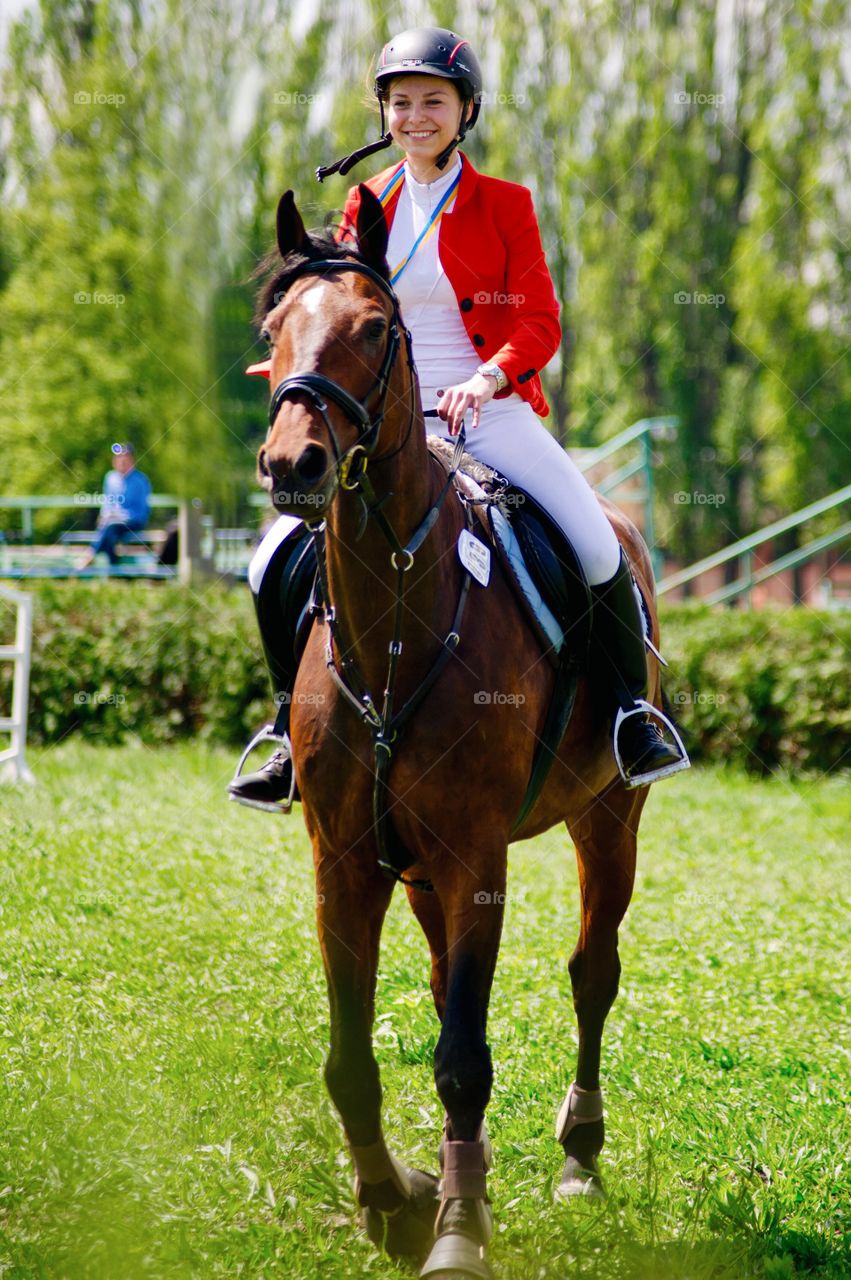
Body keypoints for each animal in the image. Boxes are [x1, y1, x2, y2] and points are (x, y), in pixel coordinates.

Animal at [255, 183, 660, 1280]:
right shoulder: (344, 859)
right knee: (447, 985)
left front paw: (458, 1231)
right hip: (421, 868)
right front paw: (391, 1199)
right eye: (272, 331)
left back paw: (578, 1156)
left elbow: (463, 1059)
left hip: (608, 817)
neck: (398, 619)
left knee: (591, 973)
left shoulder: (478, 851)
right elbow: (353, 1056)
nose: (294, 464)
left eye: (373, 327)